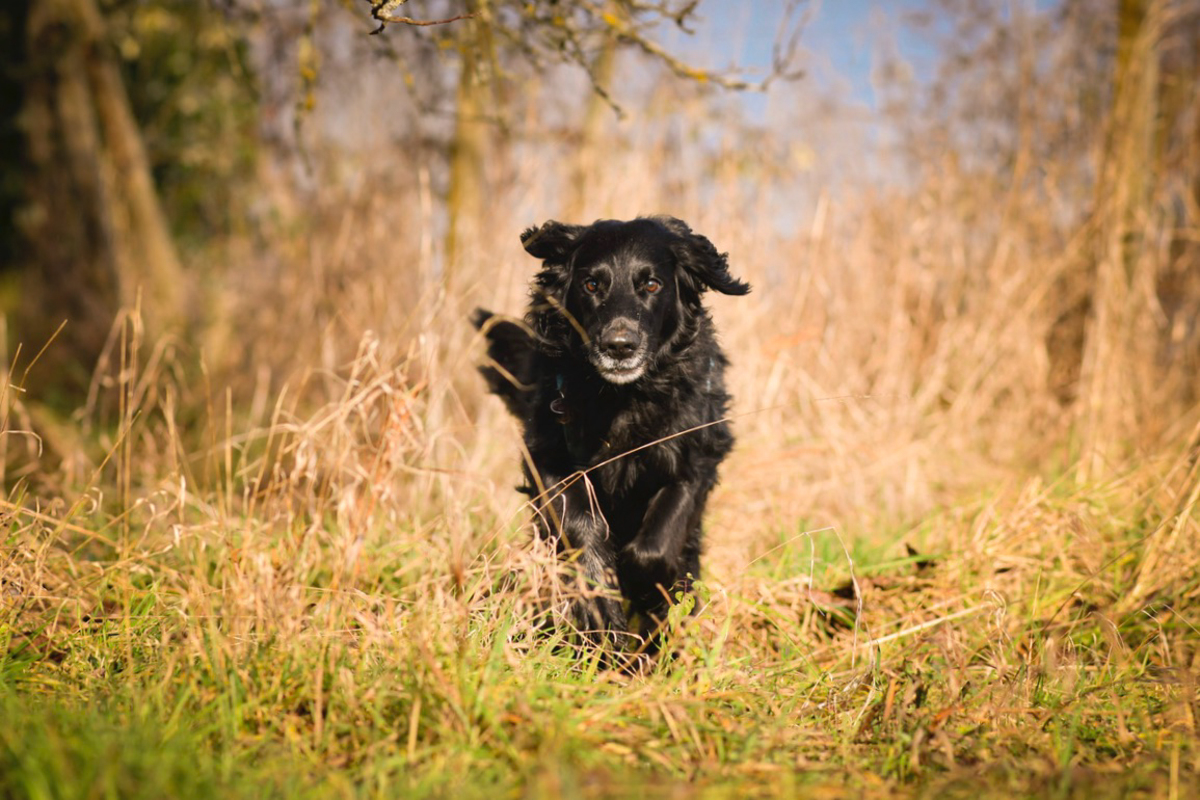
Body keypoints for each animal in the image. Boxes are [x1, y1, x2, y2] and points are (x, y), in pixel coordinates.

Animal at [470, 214, 744, 657]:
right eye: (591, 285)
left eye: (651, 285)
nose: (619, 346)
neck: (623, 398)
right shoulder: (550, 459)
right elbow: (583, 529)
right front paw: (602, 608)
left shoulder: (694, 461)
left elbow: (654, 546)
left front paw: (643, 589)